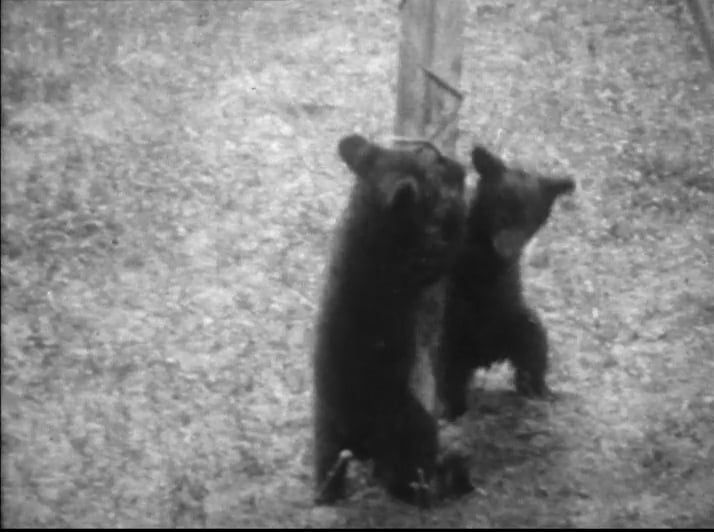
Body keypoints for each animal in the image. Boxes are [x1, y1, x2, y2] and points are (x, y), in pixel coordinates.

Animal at [314, 133, 470, 508]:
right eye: (432, 176)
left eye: (426, 153)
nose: (457, 167)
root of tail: (355, 440)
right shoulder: (421, 264)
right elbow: (450, 245)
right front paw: (459, 208)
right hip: (411, 426)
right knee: (411, 480)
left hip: (325, 439)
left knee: (327, 473)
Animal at [434, 144, 572, 420]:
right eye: (502, 214)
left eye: (528, 220)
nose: (509, 246)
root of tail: (483, 357)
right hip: (453, 335)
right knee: (448, 372)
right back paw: (449, 409)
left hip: (512, 321)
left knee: (534, 344)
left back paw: (539, 390)